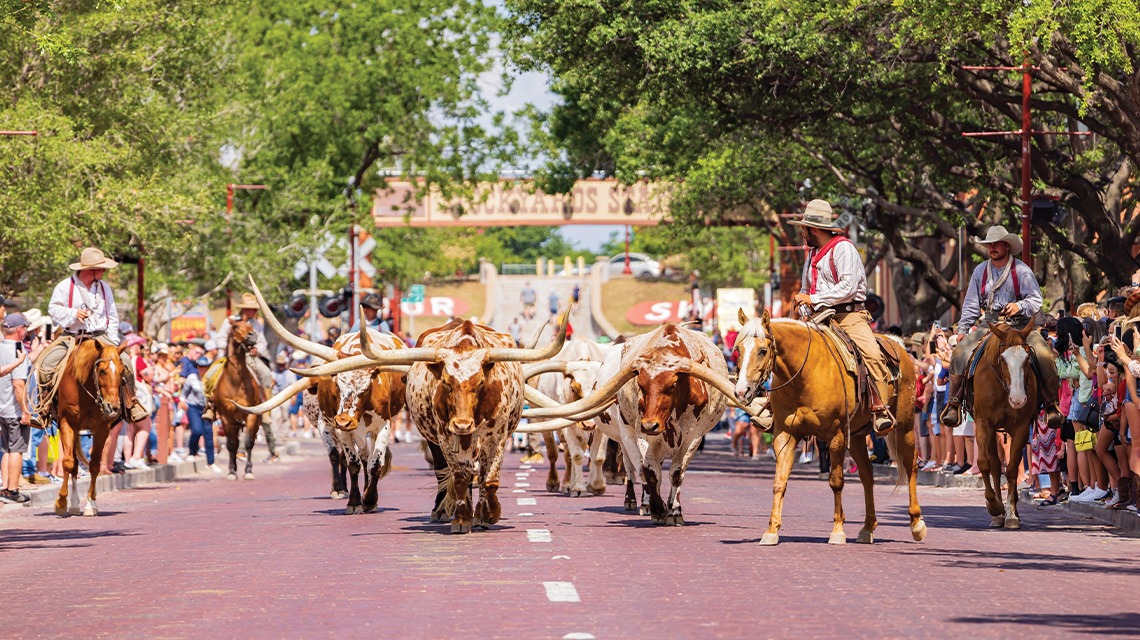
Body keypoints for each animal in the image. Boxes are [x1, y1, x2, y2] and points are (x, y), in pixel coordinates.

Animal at [53, 337, 129, 515]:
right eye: (101, 371)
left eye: (122, 371)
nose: (113, 407)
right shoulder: (67, 424)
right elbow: (68, 462)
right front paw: (61, 502)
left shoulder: (102, 429)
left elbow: (94, 465)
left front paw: (90, 504)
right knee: (73, 465)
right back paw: (73, 504)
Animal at [209, 319, 262, 479]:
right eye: (236, 326)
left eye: (251, 326)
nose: (252, 336)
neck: (236, 382)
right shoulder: (226, 417)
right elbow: (232, 444)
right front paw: (232, 471)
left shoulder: (251, 415)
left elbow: (248, 442)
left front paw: (248, 471)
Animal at [729, 310, 925, 543]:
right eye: (738, 349)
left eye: (762, 350)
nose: (742, 392)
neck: (803, 376)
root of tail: (899, 345)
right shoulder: (785, 434)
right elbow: (780, 481)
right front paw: (771, 531)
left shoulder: (836, 435)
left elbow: (836, 481)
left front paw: (838, 531)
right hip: (856, 436)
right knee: (867, 474)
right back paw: (868, 527)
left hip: (904, 426)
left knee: (911, 465)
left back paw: (916, 524)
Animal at [966, 321, 1039, 527]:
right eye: (1002, 359)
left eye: (1027, 358)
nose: (1018, 399)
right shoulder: (984, 424)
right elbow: (985, 463)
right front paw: (994, 506)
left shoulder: (1021, 428)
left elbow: (1013, 468)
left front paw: (1011, 514)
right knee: (996, 466)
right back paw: (997, 514)